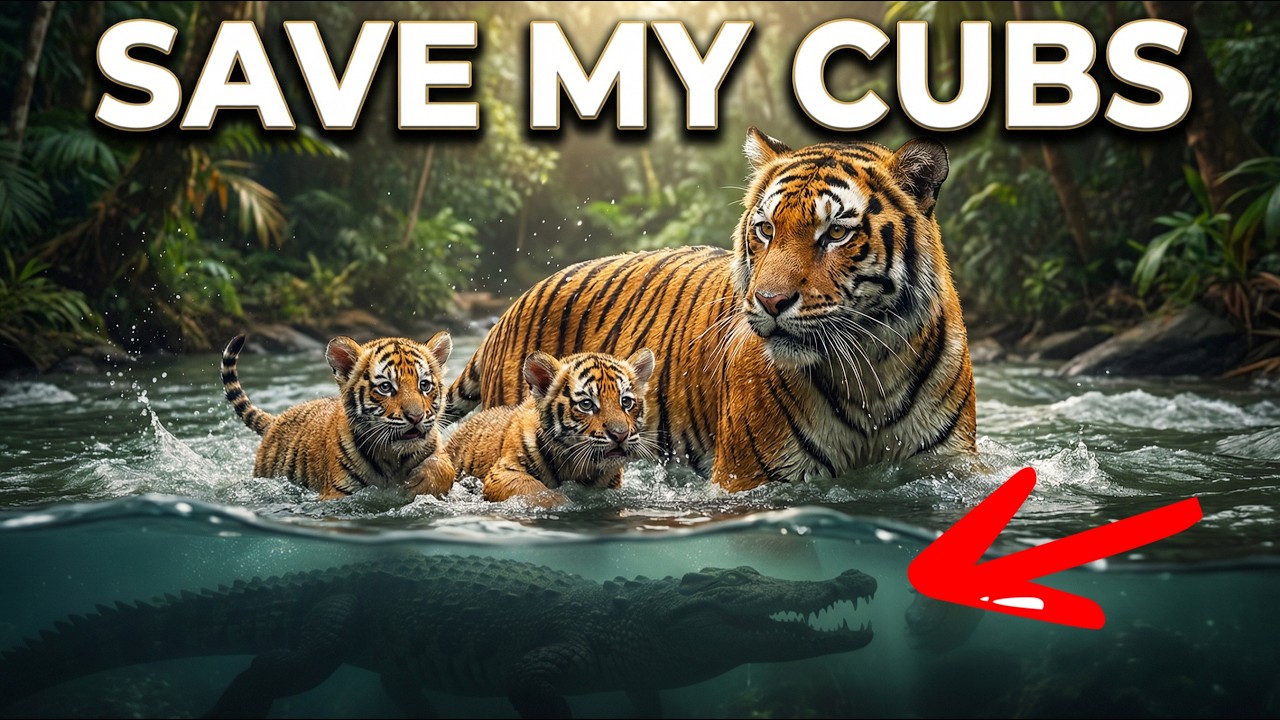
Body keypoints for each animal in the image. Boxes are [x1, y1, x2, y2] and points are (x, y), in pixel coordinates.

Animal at [221, 332, 457, 500]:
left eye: (424, 385)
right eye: (386, 387)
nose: (415, 417)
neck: (393, 458)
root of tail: (276, 419)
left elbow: (446, 466)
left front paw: (422, 482)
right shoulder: (338, 494)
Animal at [444, 349, 656, 503]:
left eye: (626, 402)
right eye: (586, 404)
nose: (620, 435)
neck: (576, 468)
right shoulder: (503, 473)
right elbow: (534, 489)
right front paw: (561, 503)